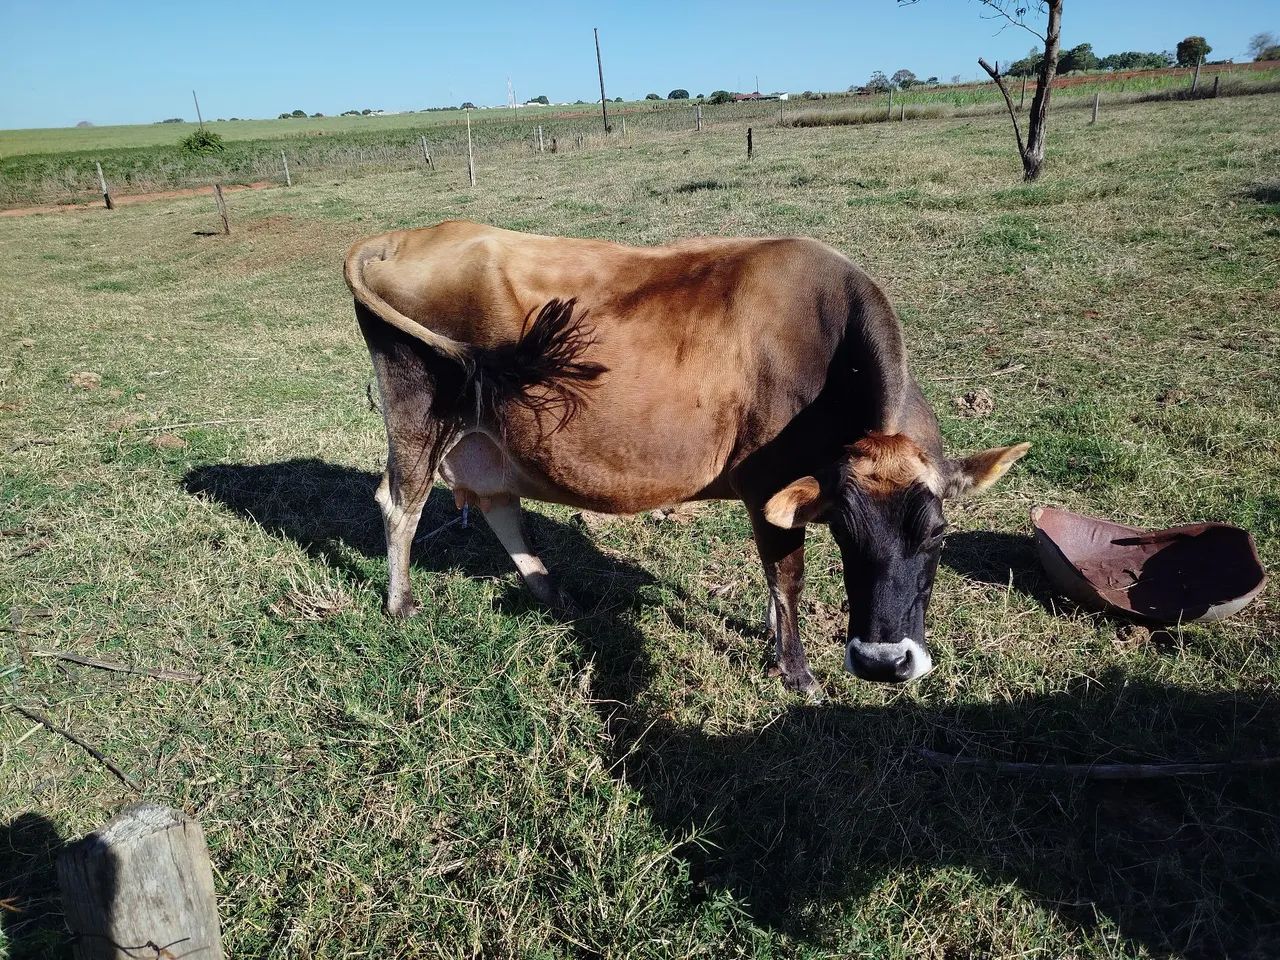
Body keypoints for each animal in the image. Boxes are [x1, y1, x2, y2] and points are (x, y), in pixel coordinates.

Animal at [345, 220, 1028, 697]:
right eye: (843, 529)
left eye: (939, 534)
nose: (883, 663)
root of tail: (408, 236)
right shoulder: (766, 483)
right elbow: (787, 577)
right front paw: (796, 671)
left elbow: (772, 579)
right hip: (418, 410)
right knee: (399, 503)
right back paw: (401, 604)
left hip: (483, 434)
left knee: (497, 504)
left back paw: (552, 593)